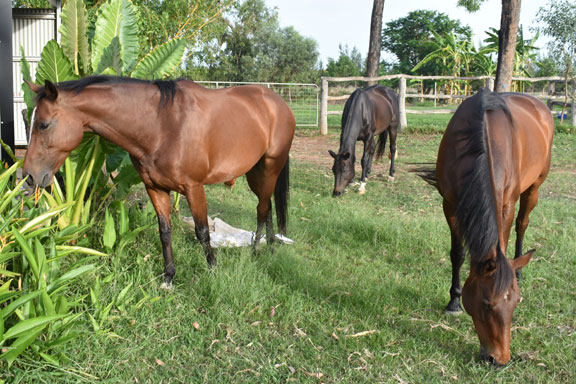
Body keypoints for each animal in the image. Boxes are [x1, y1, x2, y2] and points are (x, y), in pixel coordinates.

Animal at [23, 76, 294, 288]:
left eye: (44, 124)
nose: (28, 177)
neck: (162, 125)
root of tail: (278, 102)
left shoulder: (193, 188)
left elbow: (203, 232)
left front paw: (213, 270)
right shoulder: (155, 188)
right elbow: (165, 232)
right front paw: (168, 277)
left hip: (270, 167)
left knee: (262, 208)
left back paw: (258, 251)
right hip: (255, 172)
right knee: (267, 205)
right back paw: (269, 246)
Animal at [420, 88, 556, 366]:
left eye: (516, 303)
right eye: (486, 304)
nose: (500, 360)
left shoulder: (506, 203)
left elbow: (504, 236)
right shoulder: (450, 205)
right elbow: (458, 254)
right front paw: (454, 303)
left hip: (534, 188)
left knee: (522, 225)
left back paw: (519, 270)